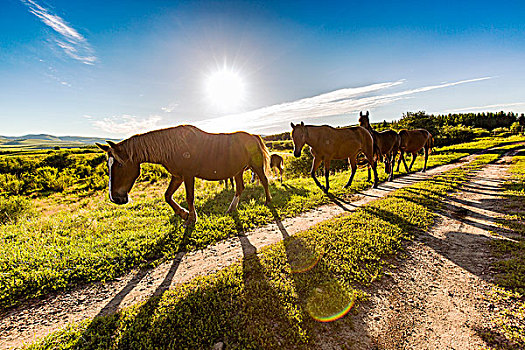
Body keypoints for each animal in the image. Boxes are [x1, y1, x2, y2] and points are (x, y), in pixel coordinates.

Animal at [95, 125, 272, 224]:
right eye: (108, 165)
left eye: (119, 164)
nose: (115, 198)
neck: (173, 147)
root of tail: (254, 136)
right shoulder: (178, 176)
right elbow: (167, 196)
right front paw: (183, 214)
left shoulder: (188, 176)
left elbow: (189, 197)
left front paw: (192, 217)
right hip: (238, 171)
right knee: (240, 188)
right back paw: (231, 208)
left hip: (256, 166)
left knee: (264, 180)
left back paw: (268, 200)